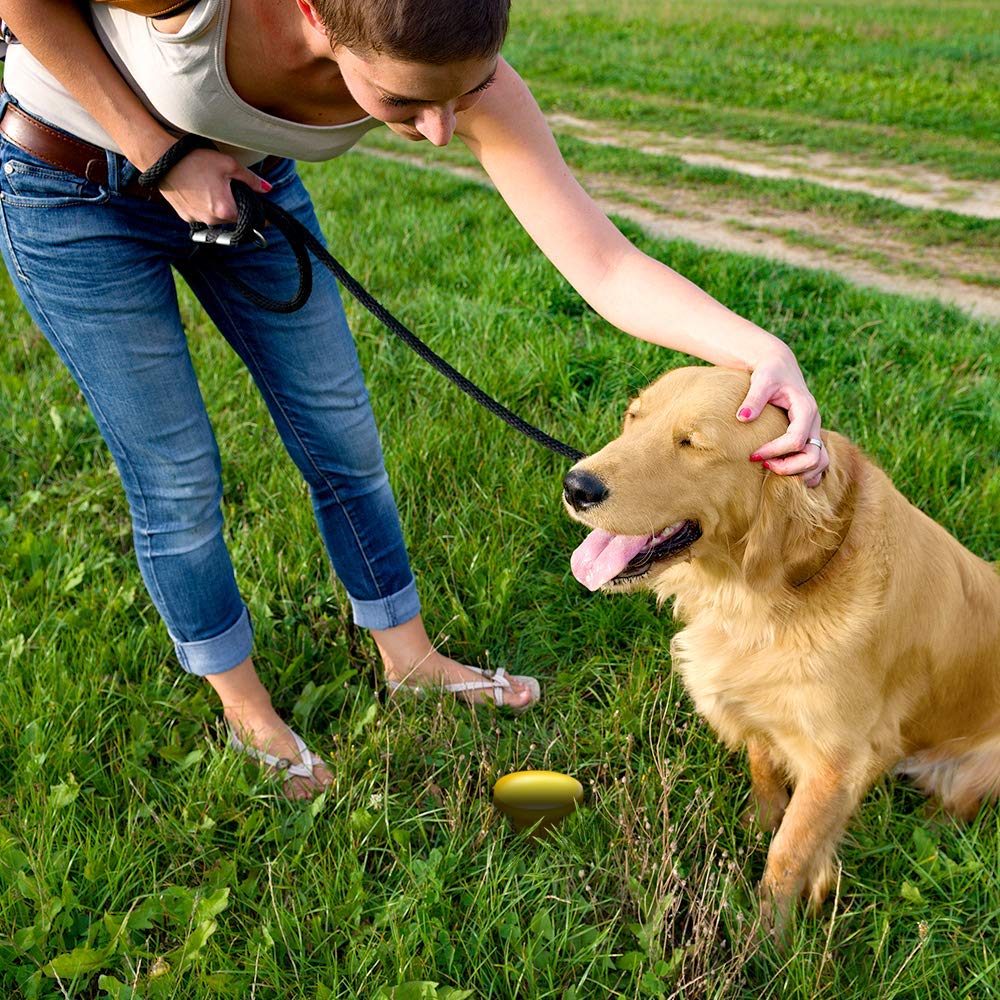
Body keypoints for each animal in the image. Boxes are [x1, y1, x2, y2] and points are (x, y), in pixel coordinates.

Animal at [564, 366, 1000, 936]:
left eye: (692, 443)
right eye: (633, 417)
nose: (576, 486)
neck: (774, 589)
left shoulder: (838, 761)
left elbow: (790, 852)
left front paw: (768, 936)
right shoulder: (757, 704)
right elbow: (763, 769)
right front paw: (758, 823)